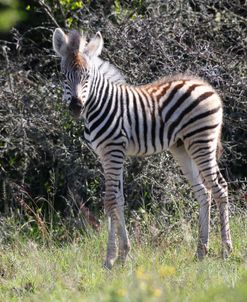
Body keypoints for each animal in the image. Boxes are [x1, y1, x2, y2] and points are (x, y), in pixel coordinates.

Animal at [52, 28, 232, 268]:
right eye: (64, 76)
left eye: (87, 76)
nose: (75, 106)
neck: (99, 104)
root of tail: (206, 86)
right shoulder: (107, 155)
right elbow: (117, 200)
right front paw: (123, 255)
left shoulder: (113, 151)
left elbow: (109, 201)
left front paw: (110, 259)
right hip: (182, 147)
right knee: (203, 192)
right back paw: (201, 251)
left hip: (201, 141)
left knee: (220, 187)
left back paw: (225, 251)